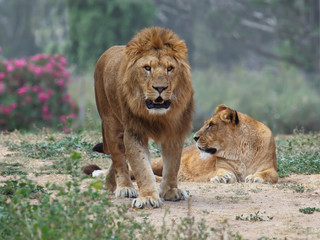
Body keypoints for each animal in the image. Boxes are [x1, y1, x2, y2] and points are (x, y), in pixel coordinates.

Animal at [94, 26, 194, 208]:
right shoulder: (134, 132)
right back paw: (124, 187)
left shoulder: (175, 132)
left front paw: (171, 192)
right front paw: (147, 197)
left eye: (170, 68)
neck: (158, 116)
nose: (160, 88)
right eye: (147, 68)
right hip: (110, 122)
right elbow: (141, 166)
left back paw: (110, 184)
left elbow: (173, 164)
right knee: (118, 158)